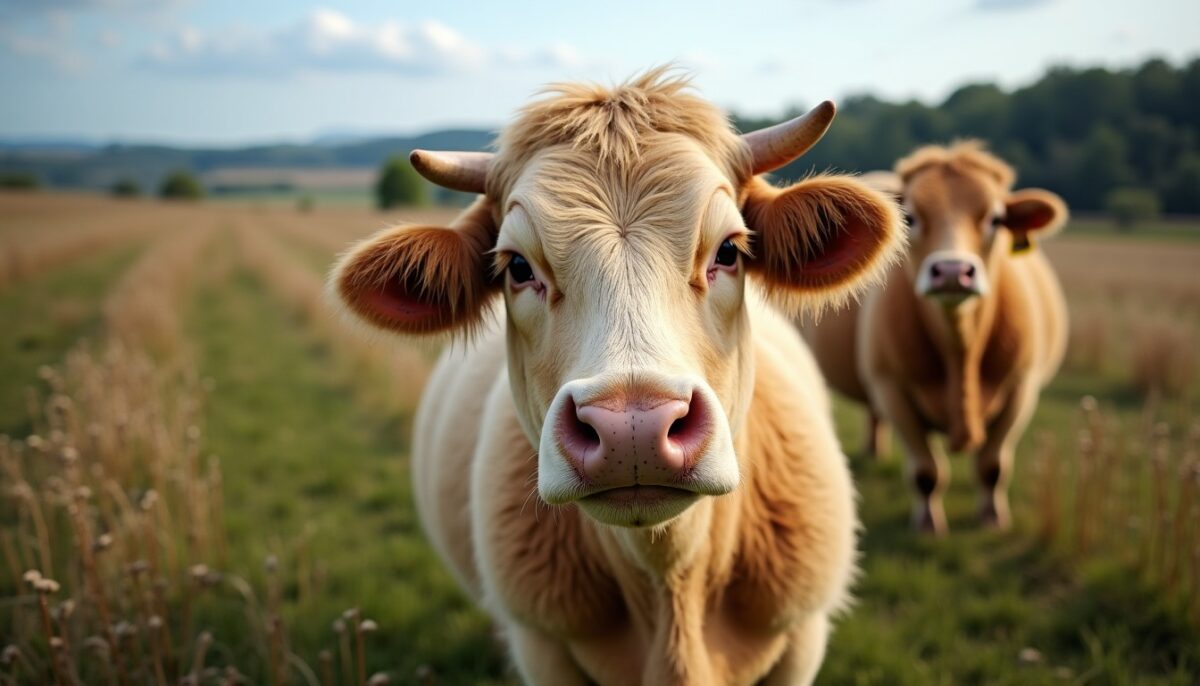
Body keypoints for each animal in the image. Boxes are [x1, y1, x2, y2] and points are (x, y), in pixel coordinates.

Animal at [328, 69, 905, 684]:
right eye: (517, 267)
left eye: (729, 250)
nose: (635, 430)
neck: (670, 585)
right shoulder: (543, 644)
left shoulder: (801, 638)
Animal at [806, 142, 1068, 534]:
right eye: (910, 217)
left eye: (995, 219)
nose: (952, 271)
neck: (961, 349)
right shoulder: (892, 388)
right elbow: (926, 471)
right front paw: (928, 524)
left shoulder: (1021, 388)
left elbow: (992, 467)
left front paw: (993, 519)